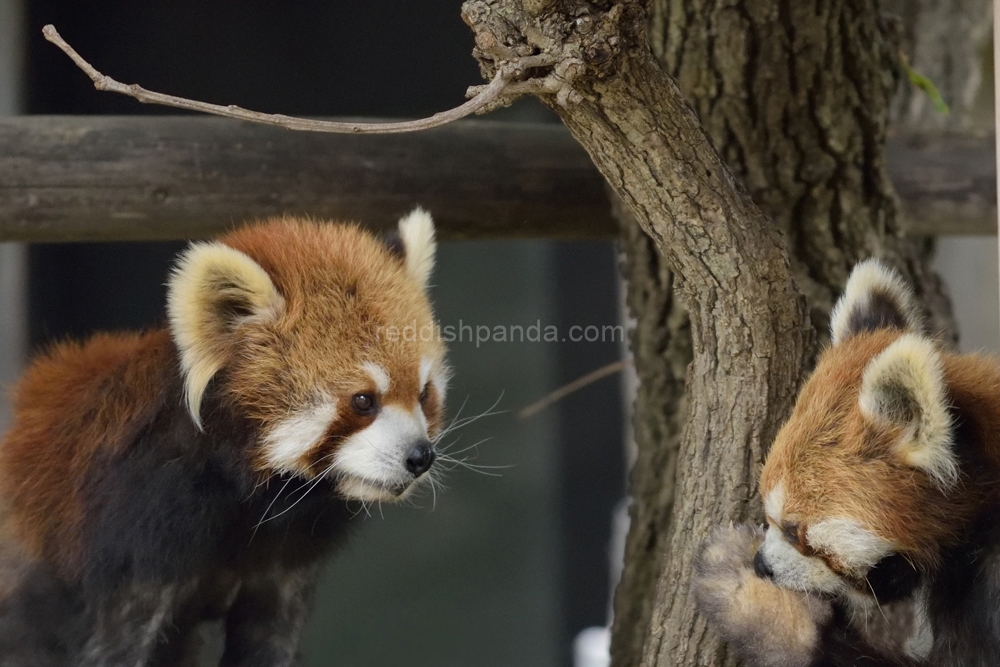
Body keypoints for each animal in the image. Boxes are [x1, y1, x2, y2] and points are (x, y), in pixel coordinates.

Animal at [0, 210, 450, 667]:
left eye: (423, 394)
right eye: (363, 401)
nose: (420, 456)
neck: (248, 502)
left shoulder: (285, 558)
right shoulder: (135, 533)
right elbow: (115, 644)